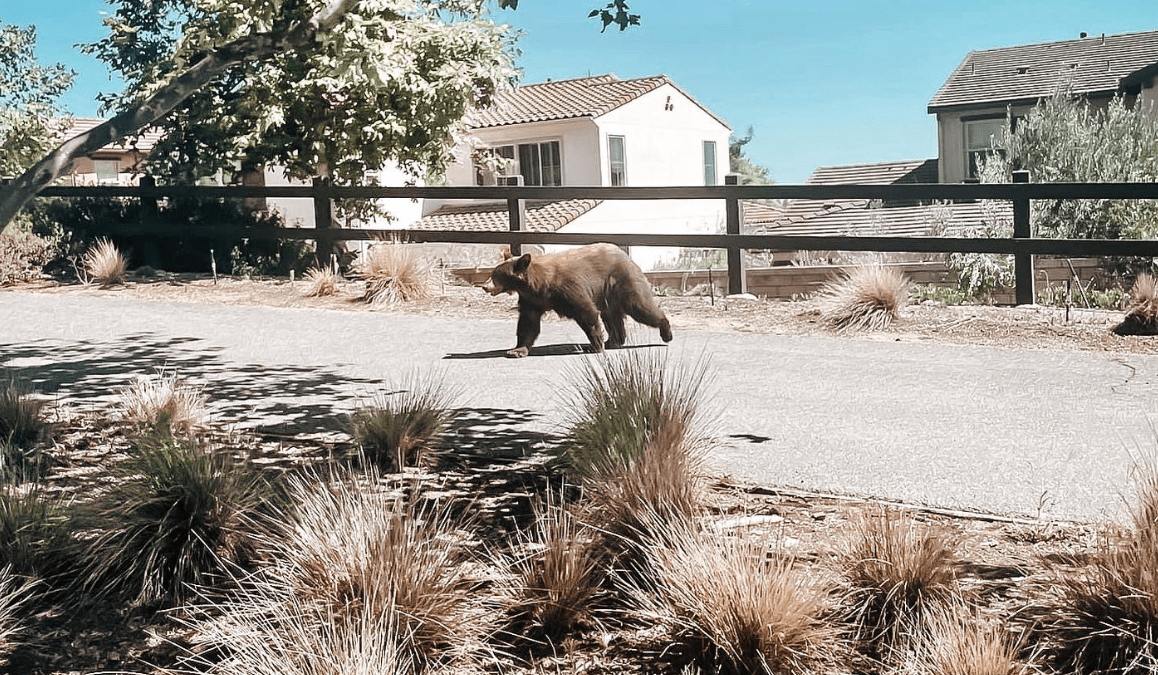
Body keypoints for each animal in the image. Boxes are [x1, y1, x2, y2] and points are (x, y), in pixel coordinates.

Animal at [482, 243, 674, 358]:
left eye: (496, 276)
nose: (484, 286)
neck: (538, 284)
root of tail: (625, 255)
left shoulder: (568, 288)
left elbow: (586, 312)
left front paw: (594, 346)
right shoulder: (532, 299)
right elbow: (528, 323)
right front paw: (516, 350)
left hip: (623, 281)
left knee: (640, 307)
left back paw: (666, 333)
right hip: (607, 294)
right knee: (612, 316)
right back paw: (614, 341)